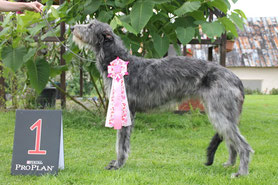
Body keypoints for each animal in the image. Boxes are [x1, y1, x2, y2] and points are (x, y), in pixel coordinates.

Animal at [71, 19, 252, 177]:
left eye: (90, 26)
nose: (72, 28)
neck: (119, 62)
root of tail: (236, 79)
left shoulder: (126, 109)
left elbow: (121, 144)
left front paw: (118, 164)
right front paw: (118, 163)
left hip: (219, 112)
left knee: (243, 145)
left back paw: (241, 172)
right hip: (220, 112)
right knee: (231, 142)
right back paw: (230, 164)